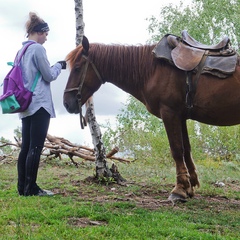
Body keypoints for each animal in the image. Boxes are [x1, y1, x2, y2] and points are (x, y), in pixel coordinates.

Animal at [63, 36, 240, 202]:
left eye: (77, 68)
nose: (66, 103)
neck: (152, 69)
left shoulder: (169, 113)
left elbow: (177, 150)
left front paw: (179, 189)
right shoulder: (180, 116)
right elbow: (186, 150)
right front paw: (190, 187)